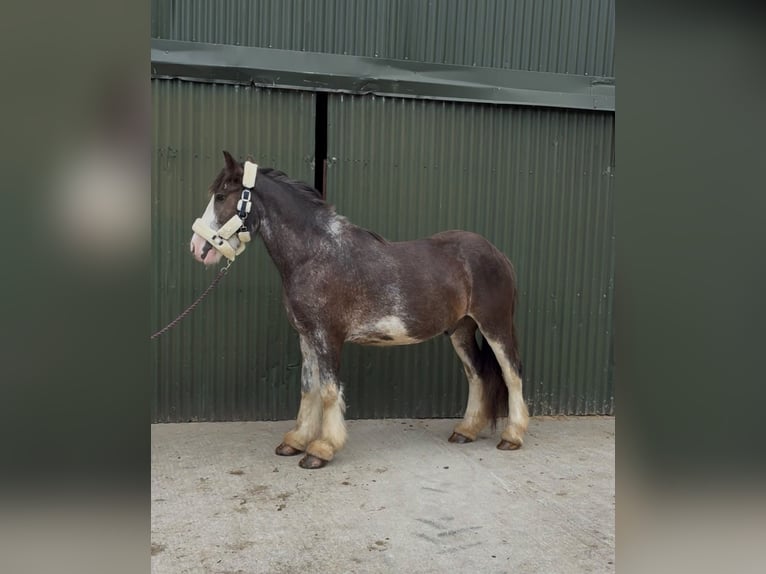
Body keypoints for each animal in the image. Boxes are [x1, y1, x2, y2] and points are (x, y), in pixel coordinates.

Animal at [189, 151, 529, 469]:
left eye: (221, 196)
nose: (197, 248)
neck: (315, 255)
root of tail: (498, 254)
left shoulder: (328, 337)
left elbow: (328, 391)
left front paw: (321, 450)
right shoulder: (307, 337)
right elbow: (309, 389)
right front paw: (296, 441)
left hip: (495, 326)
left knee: (511, 374)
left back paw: (512, 436)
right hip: (461, 330)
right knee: (477, 375)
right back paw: (465, 431)